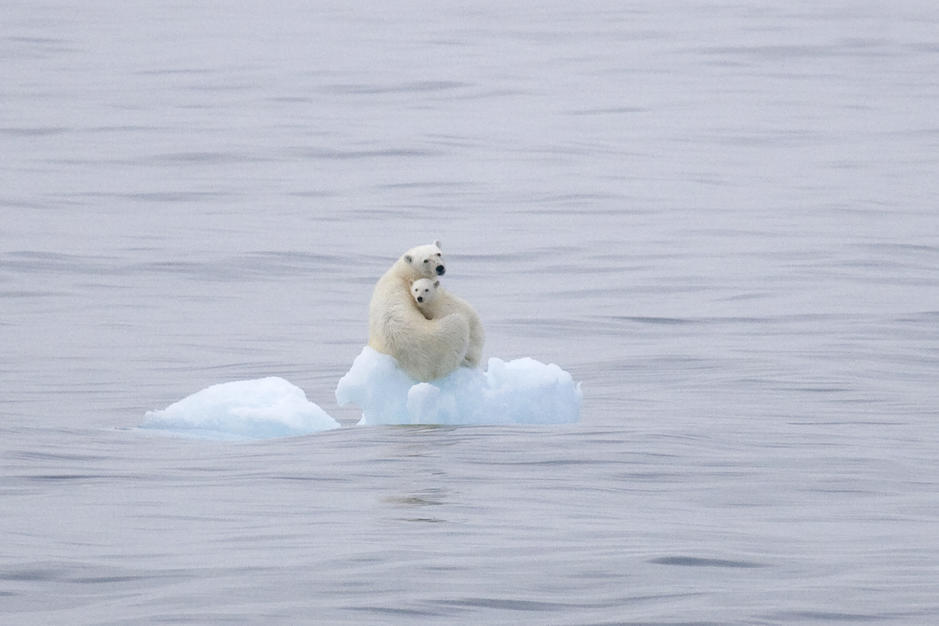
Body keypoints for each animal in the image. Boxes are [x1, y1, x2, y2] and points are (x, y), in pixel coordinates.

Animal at [368, 241, 470, 380]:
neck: (403, 274)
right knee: (459, 325)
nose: (440, 267)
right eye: (425, 260)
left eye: (438, 253)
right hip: (438, 342)